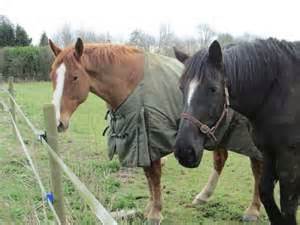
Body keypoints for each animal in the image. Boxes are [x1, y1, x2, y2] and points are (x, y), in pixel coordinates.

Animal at [49, 38, 262, 223]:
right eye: (52, 76)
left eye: (75, 77)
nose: (58, 121)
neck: (132, 83)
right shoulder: (140, 140)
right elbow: (148, 175)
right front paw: (150, 207)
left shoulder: (152, 137)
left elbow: (155, 174)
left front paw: (156, 212)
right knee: (220, 159)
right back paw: (203, 196)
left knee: (257, 168)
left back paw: (253, 210)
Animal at [173, 38, 300, 225]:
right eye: (181, 88)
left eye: (213, 88)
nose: (184, 151)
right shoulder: (268, 152)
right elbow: (265, 191)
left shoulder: (289, 158)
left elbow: (288, 207)